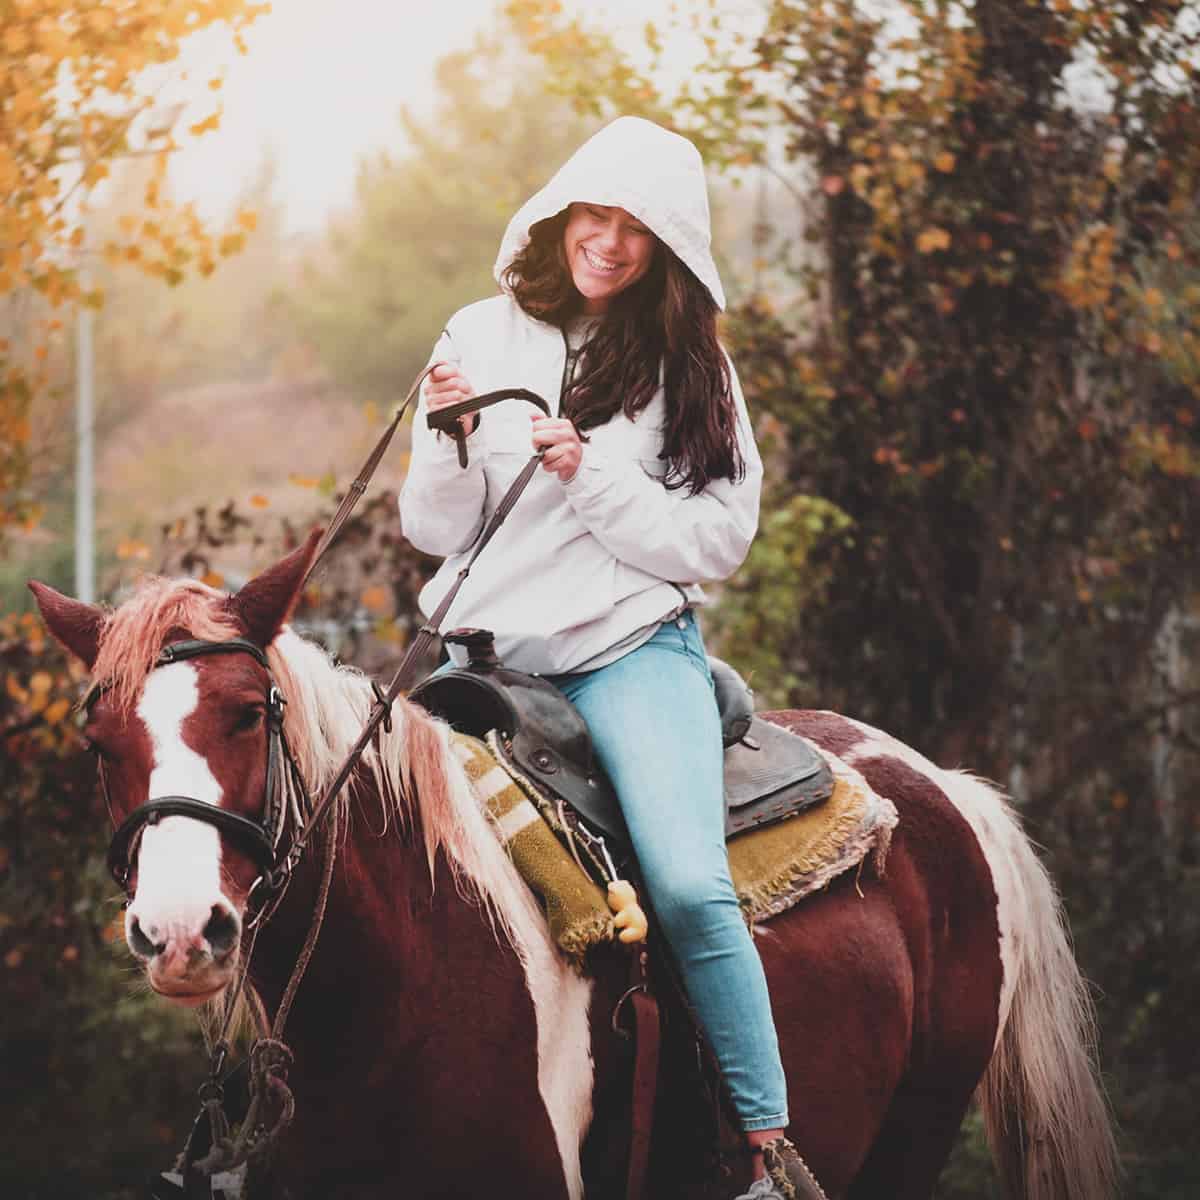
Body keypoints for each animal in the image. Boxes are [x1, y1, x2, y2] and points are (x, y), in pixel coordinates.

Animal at [32, 535, 1118, 1200]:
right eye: (98, 739)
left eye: (248, 713)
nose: (181, 933)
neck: (395, 988)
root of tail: (943, 785)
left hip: (911, 1138)